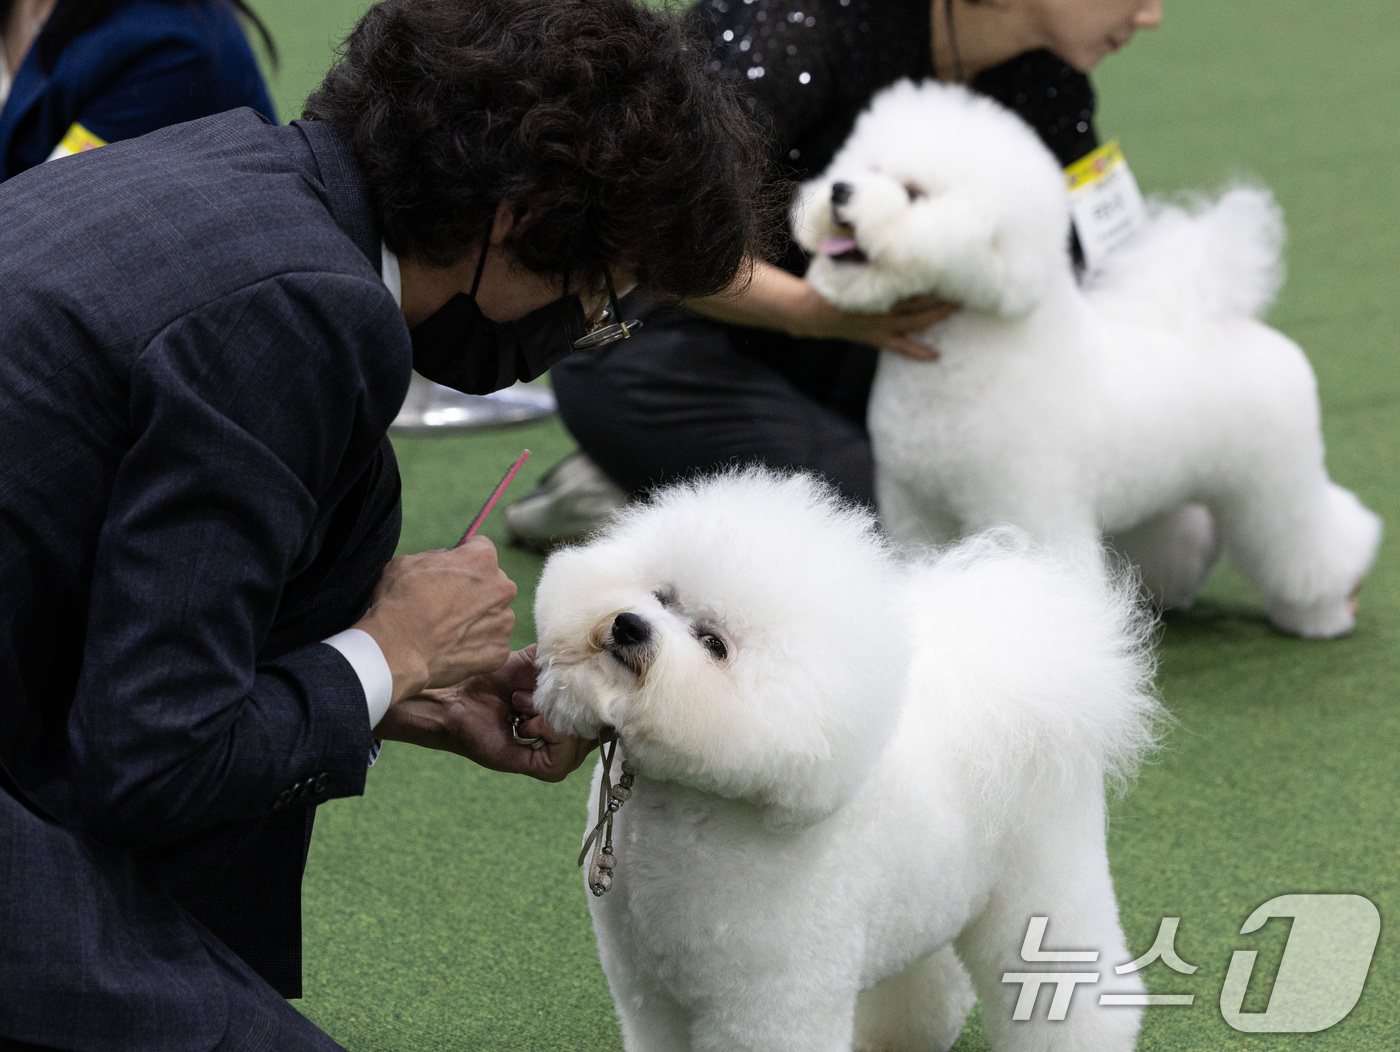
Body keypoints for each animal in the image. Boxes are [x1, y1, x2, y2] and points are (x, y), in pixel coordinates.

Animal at [532, 473, 1159, 1052]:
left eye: (714, 645)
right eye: (662, 596)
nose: (628, 624)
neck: (678, 814)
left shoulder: (768, 1001)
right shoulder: (647, 992)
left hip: (1046, 879)